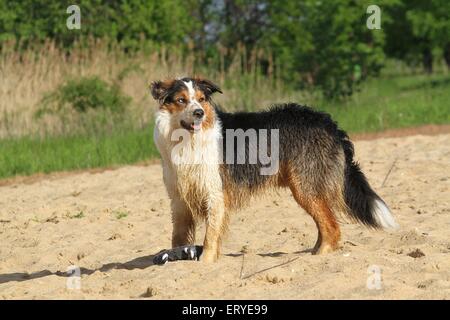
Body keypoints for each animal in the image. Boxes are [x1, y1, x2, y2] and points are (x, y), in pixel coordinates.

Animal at [150, 76, 398, 262]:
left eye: (201, 100)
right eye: (181, 100)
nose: (199, 112)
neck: (187, 140)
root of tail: (328, 122)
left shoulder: (215, 194)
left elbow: (210, 236)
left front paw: (205, 262)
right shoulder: (179, 199)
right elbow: (179, 236)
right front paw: (177, 257)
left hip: (305, 187)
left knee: (332, 228)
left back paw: (319, 257)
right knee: (325, 223)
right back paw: (314, 252)